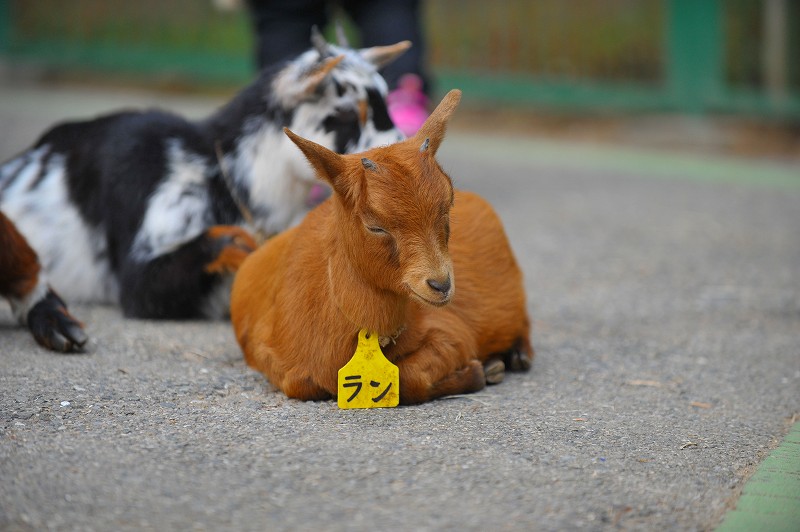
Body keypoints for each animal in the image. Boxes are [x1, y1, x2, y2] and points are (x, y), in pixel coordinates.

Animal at [228, 89, 536, 404]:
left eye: (447, 208)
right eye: (375, 226)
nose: (441, 285)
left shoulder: (452, 332)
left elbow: (409, 376)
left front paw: (479, 371)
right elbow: (301, 383)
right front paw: (480, 371)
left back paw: (516, 355)